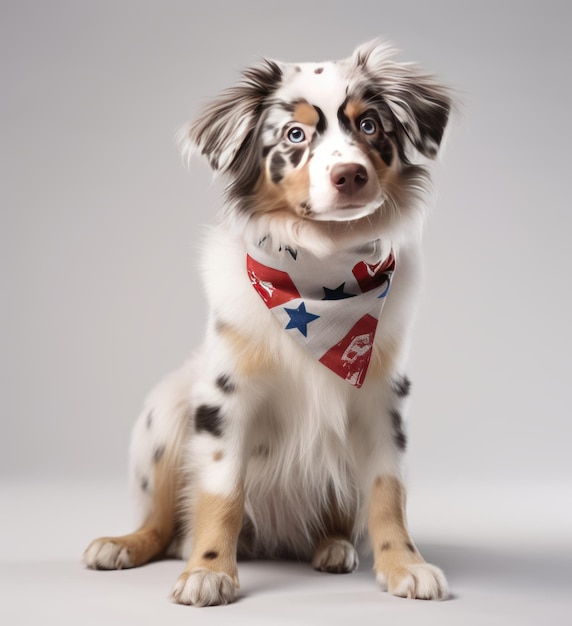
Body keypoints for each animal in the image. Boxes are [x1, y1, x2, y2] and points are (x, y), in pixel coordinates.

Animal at [84, 40, 452, 604]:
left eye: (370, 125)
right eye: (295, 135)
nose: (350, 175)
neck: (321, 272)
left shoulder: (384, 400)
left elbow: (389, 490)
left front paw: (405, 564)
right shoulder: (225, 397)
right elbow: (222, 491)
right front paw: (209, 571)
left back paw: (333, 547)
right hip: (165, 413)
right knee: (162, 521)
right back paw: (125, 545)